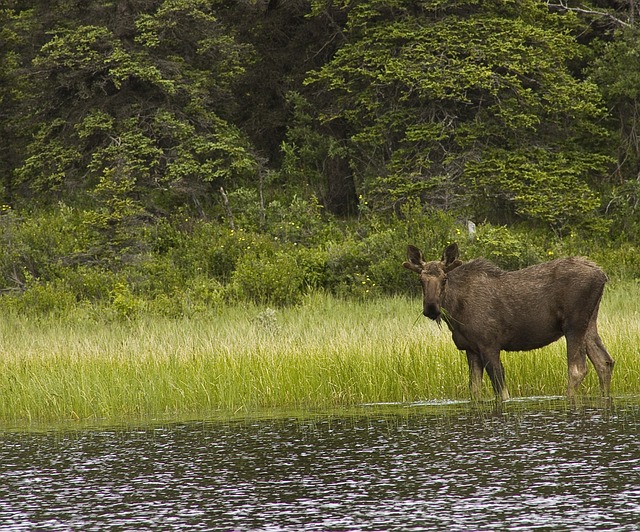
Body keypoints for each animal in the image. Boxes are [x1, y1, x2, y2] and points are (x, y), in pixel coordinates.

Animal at [404, 243, 616, 402]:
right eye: (420, 280)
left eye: (444, 278)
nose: (431, 308)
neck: (455, 314)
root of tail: (603, 275)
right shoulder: (470, 349)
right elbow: (474, 392)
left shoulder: (489, 345)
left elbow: (502, 392)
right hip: (589, 322)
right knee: (604, 362)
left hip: (573, 325)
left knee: (577, 369)